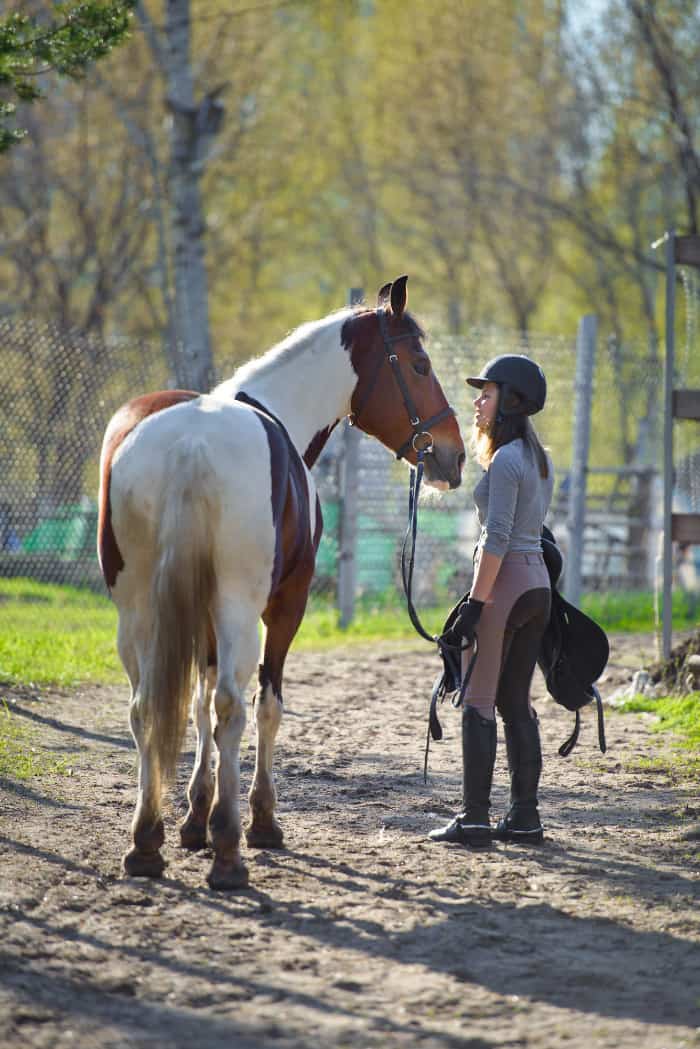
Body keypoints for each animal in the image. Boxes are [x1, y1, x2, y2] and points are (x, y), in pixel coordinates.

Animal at [94, 274, 465, 889]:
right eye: (418, 364)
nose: (453, 456)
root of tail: (193, 442)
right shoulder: (285, 606)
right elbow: (265, 704)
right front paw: (259, 821)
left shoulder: (200, 614)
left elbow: (196, 703)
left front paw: (193, 818)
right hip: (240, 607)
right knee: (232, 706)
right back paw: (228, 851)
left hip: (138, 610)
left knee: (147, 706)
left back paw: (146, 842)